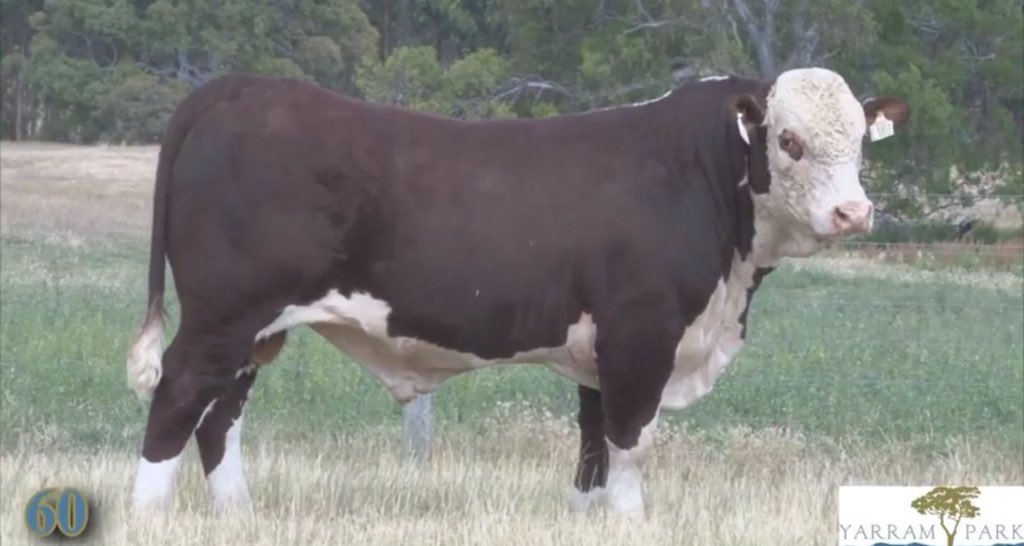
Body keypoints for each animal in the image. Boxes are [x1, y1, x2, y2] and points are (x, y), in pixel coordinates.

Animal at [125, 67, 909, 517]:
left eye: (859, 143)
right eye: (789, 141)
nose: (853, 213)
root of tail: (242, 87)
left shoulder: (600, 353)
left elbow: (592, 452)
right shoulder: (641, 339)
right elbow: (629, 450)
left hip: (255, 331)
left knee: (220, 419)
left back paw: (240, 519)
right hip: (222, 317)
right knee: (177, 402)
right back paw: (150, 518)